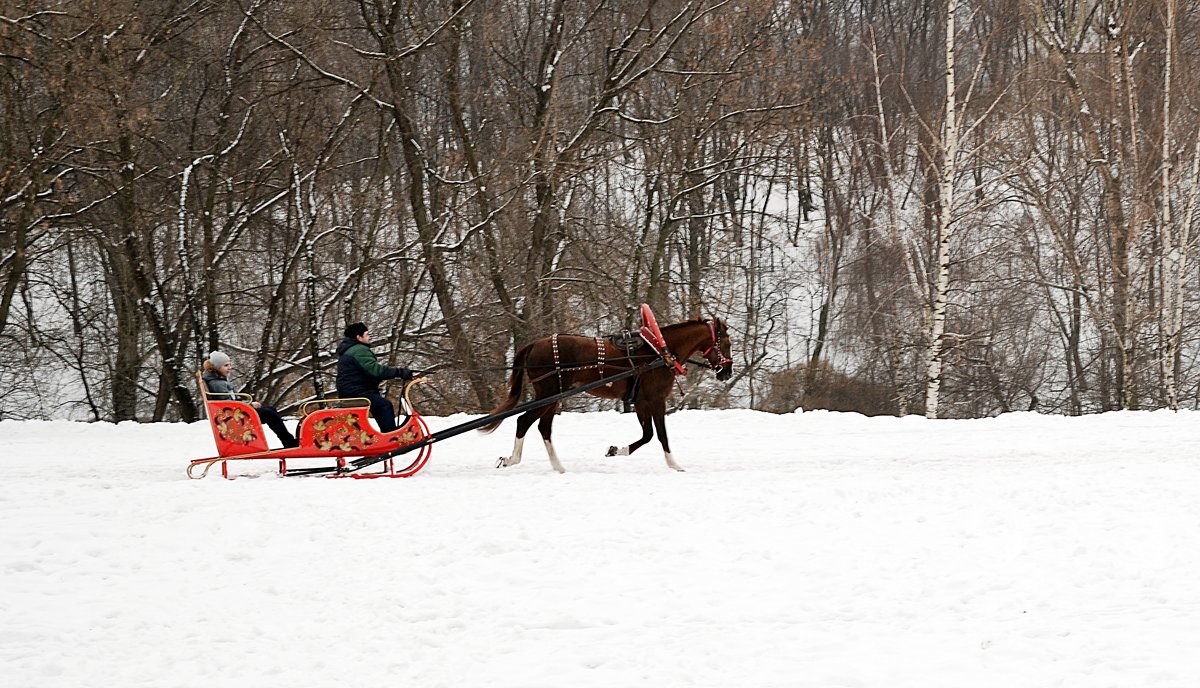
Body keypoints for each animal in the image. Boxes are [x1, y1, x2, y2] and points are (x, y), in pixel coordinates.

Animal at [477, 316, 729, 473]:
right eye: (727, 344)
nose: (727, 372)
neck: (660, 351)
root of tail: (534, 345)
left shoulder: (640, 402)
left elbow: (647, 435)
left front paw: (616, 450)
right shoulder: (656, 401)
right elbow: (661, 436)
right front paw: (675, 464)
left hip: (553, 397)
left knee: (543, 427)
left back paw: (558, 467)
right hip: (549, 393)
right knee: (524, 421)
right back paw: (513, 460)